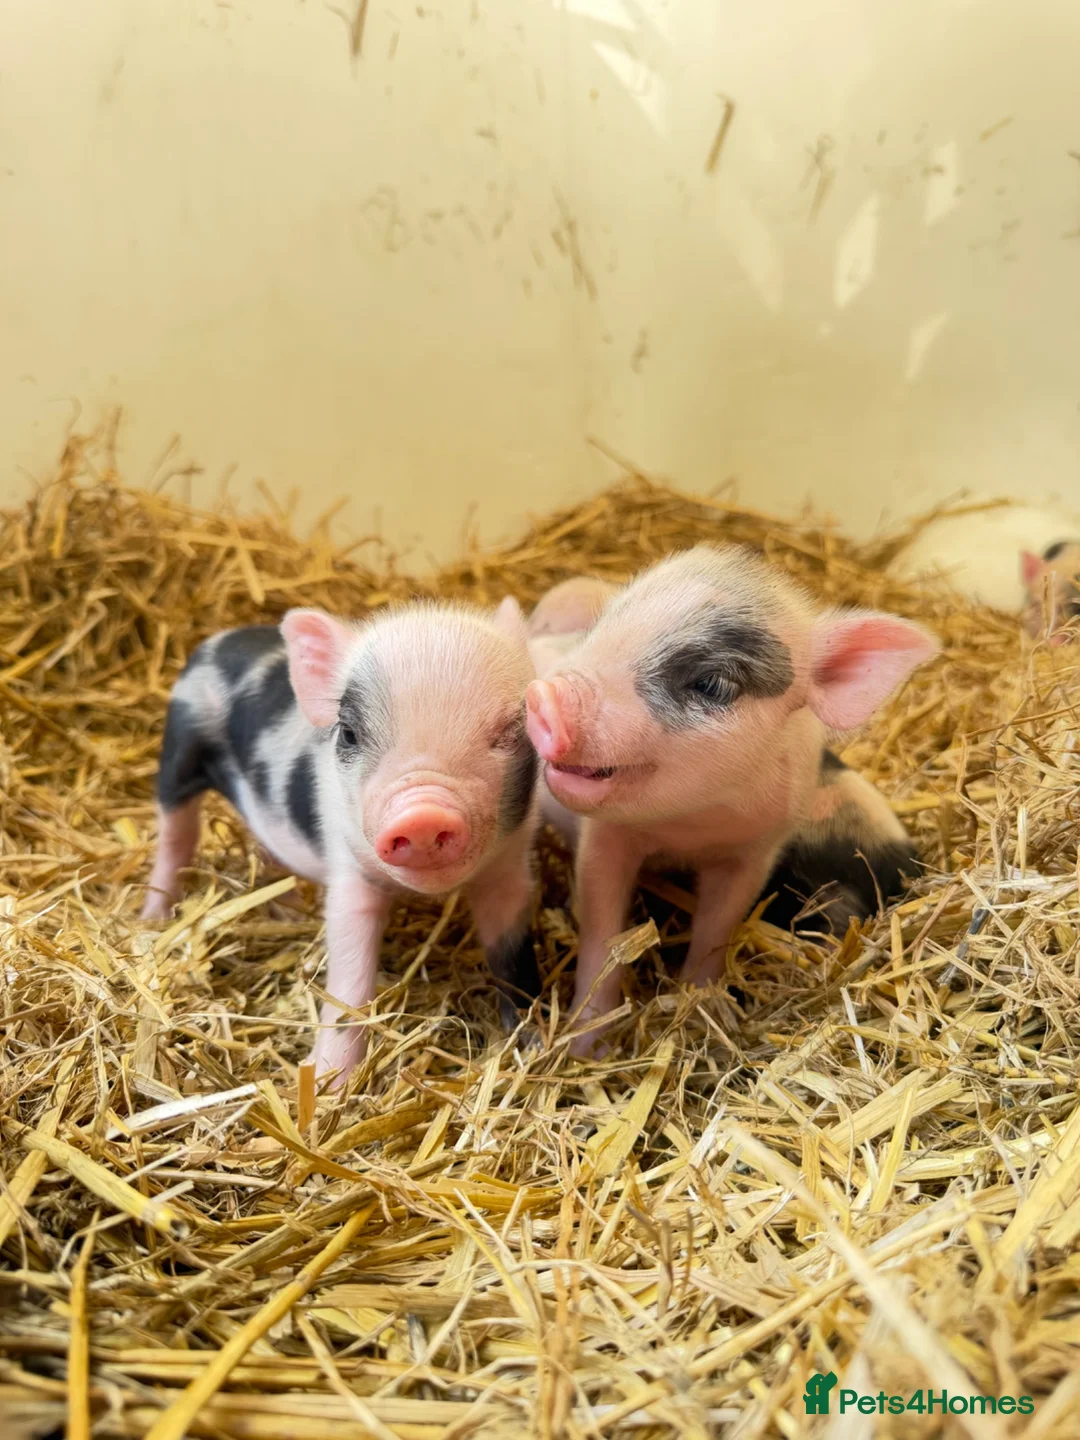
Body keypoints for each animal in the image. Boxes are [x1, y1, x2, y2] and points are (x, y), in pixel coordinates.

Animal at [143, 599, 542, 1085]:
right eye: (349, 733)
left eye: (510, 730)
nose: (423, 815)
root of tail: (219, 640)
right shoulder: (350, 873)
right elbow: (350, 975)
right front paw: (328, 1081)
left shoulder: (510, 871)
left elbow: (512, 956)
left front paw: (533, 1043)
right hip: (179, 750)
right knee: (175, 837)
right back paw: (152, 919)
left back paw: (288, 913)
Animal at [523, 545, 938, 1053]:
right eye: (603, 628)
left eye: (712, 683)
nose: (546, 695)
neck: (688, 829)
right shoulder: (605, 840)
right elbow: (604, 938)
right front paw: (586, 1050)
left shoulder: (754, 852)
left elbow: (717, 930)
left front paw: (699, 1008)